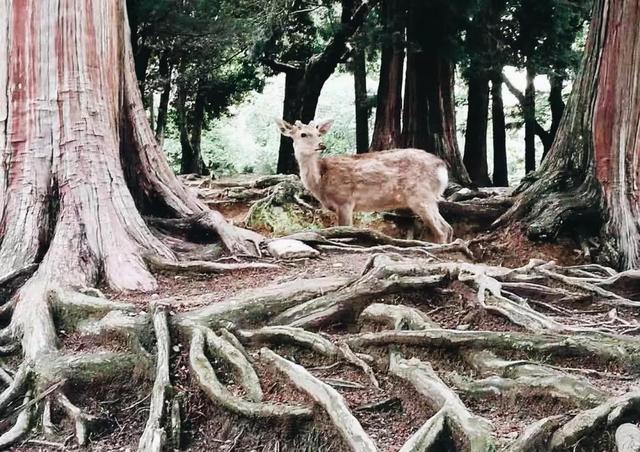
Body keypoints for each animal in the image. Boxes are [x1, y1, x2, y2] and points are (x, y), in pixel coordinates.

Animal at [276, 117, 456, 244]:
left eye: (318, 133)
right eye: (303, 134)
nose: (321, 144)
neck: (320, 182)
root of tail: (441, 167)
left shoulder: (345, 200)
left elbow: (345, 229)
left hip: (420, 195)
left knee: (442, 229)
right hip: (428, 197)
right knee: (448, 227)